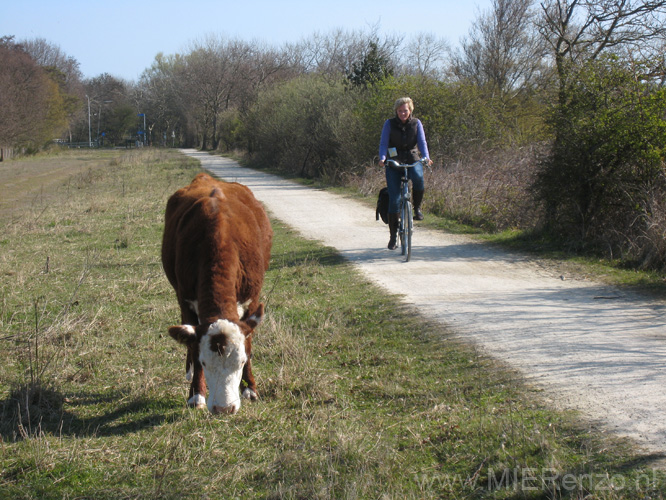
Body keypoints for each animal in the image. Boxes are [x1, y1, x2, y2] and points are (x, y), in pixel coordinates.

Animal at [161, 174, 272, 416]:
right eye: (204, 363)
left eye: (241, 362)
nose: (224, 408)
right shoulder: (185, 299)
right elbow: (193, 345)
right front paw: (196, 394)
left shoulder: (252, 300)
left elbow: (249, 342)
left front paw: (250, 388)